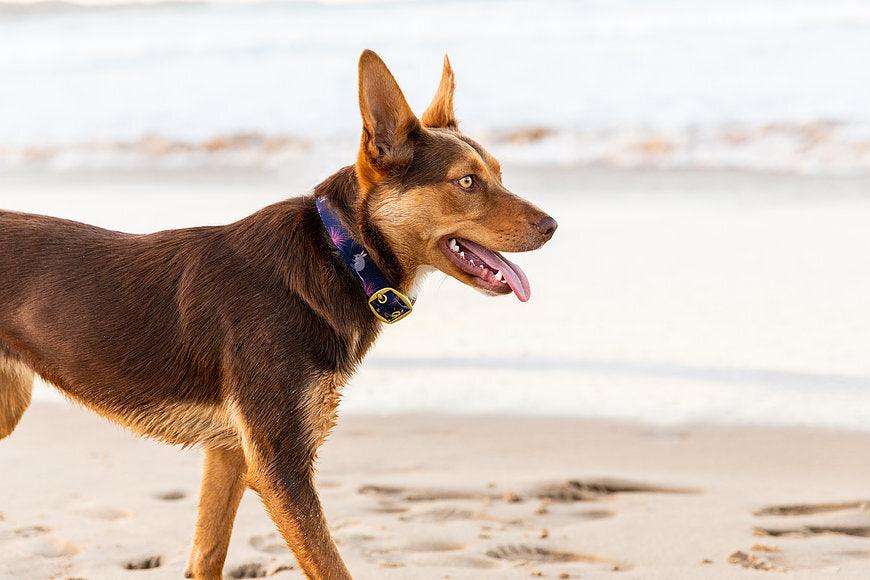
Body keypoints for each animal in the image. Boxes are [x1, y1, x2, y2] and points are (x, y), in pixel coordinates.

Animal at [0, 51, 560, 580]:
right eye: (466, 182)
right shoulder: (279, 467)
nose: (553, 225)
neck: (342, 252)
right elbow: (332, 568)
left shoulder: (228, 452)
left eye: (500, 175)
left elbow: (206, 557)